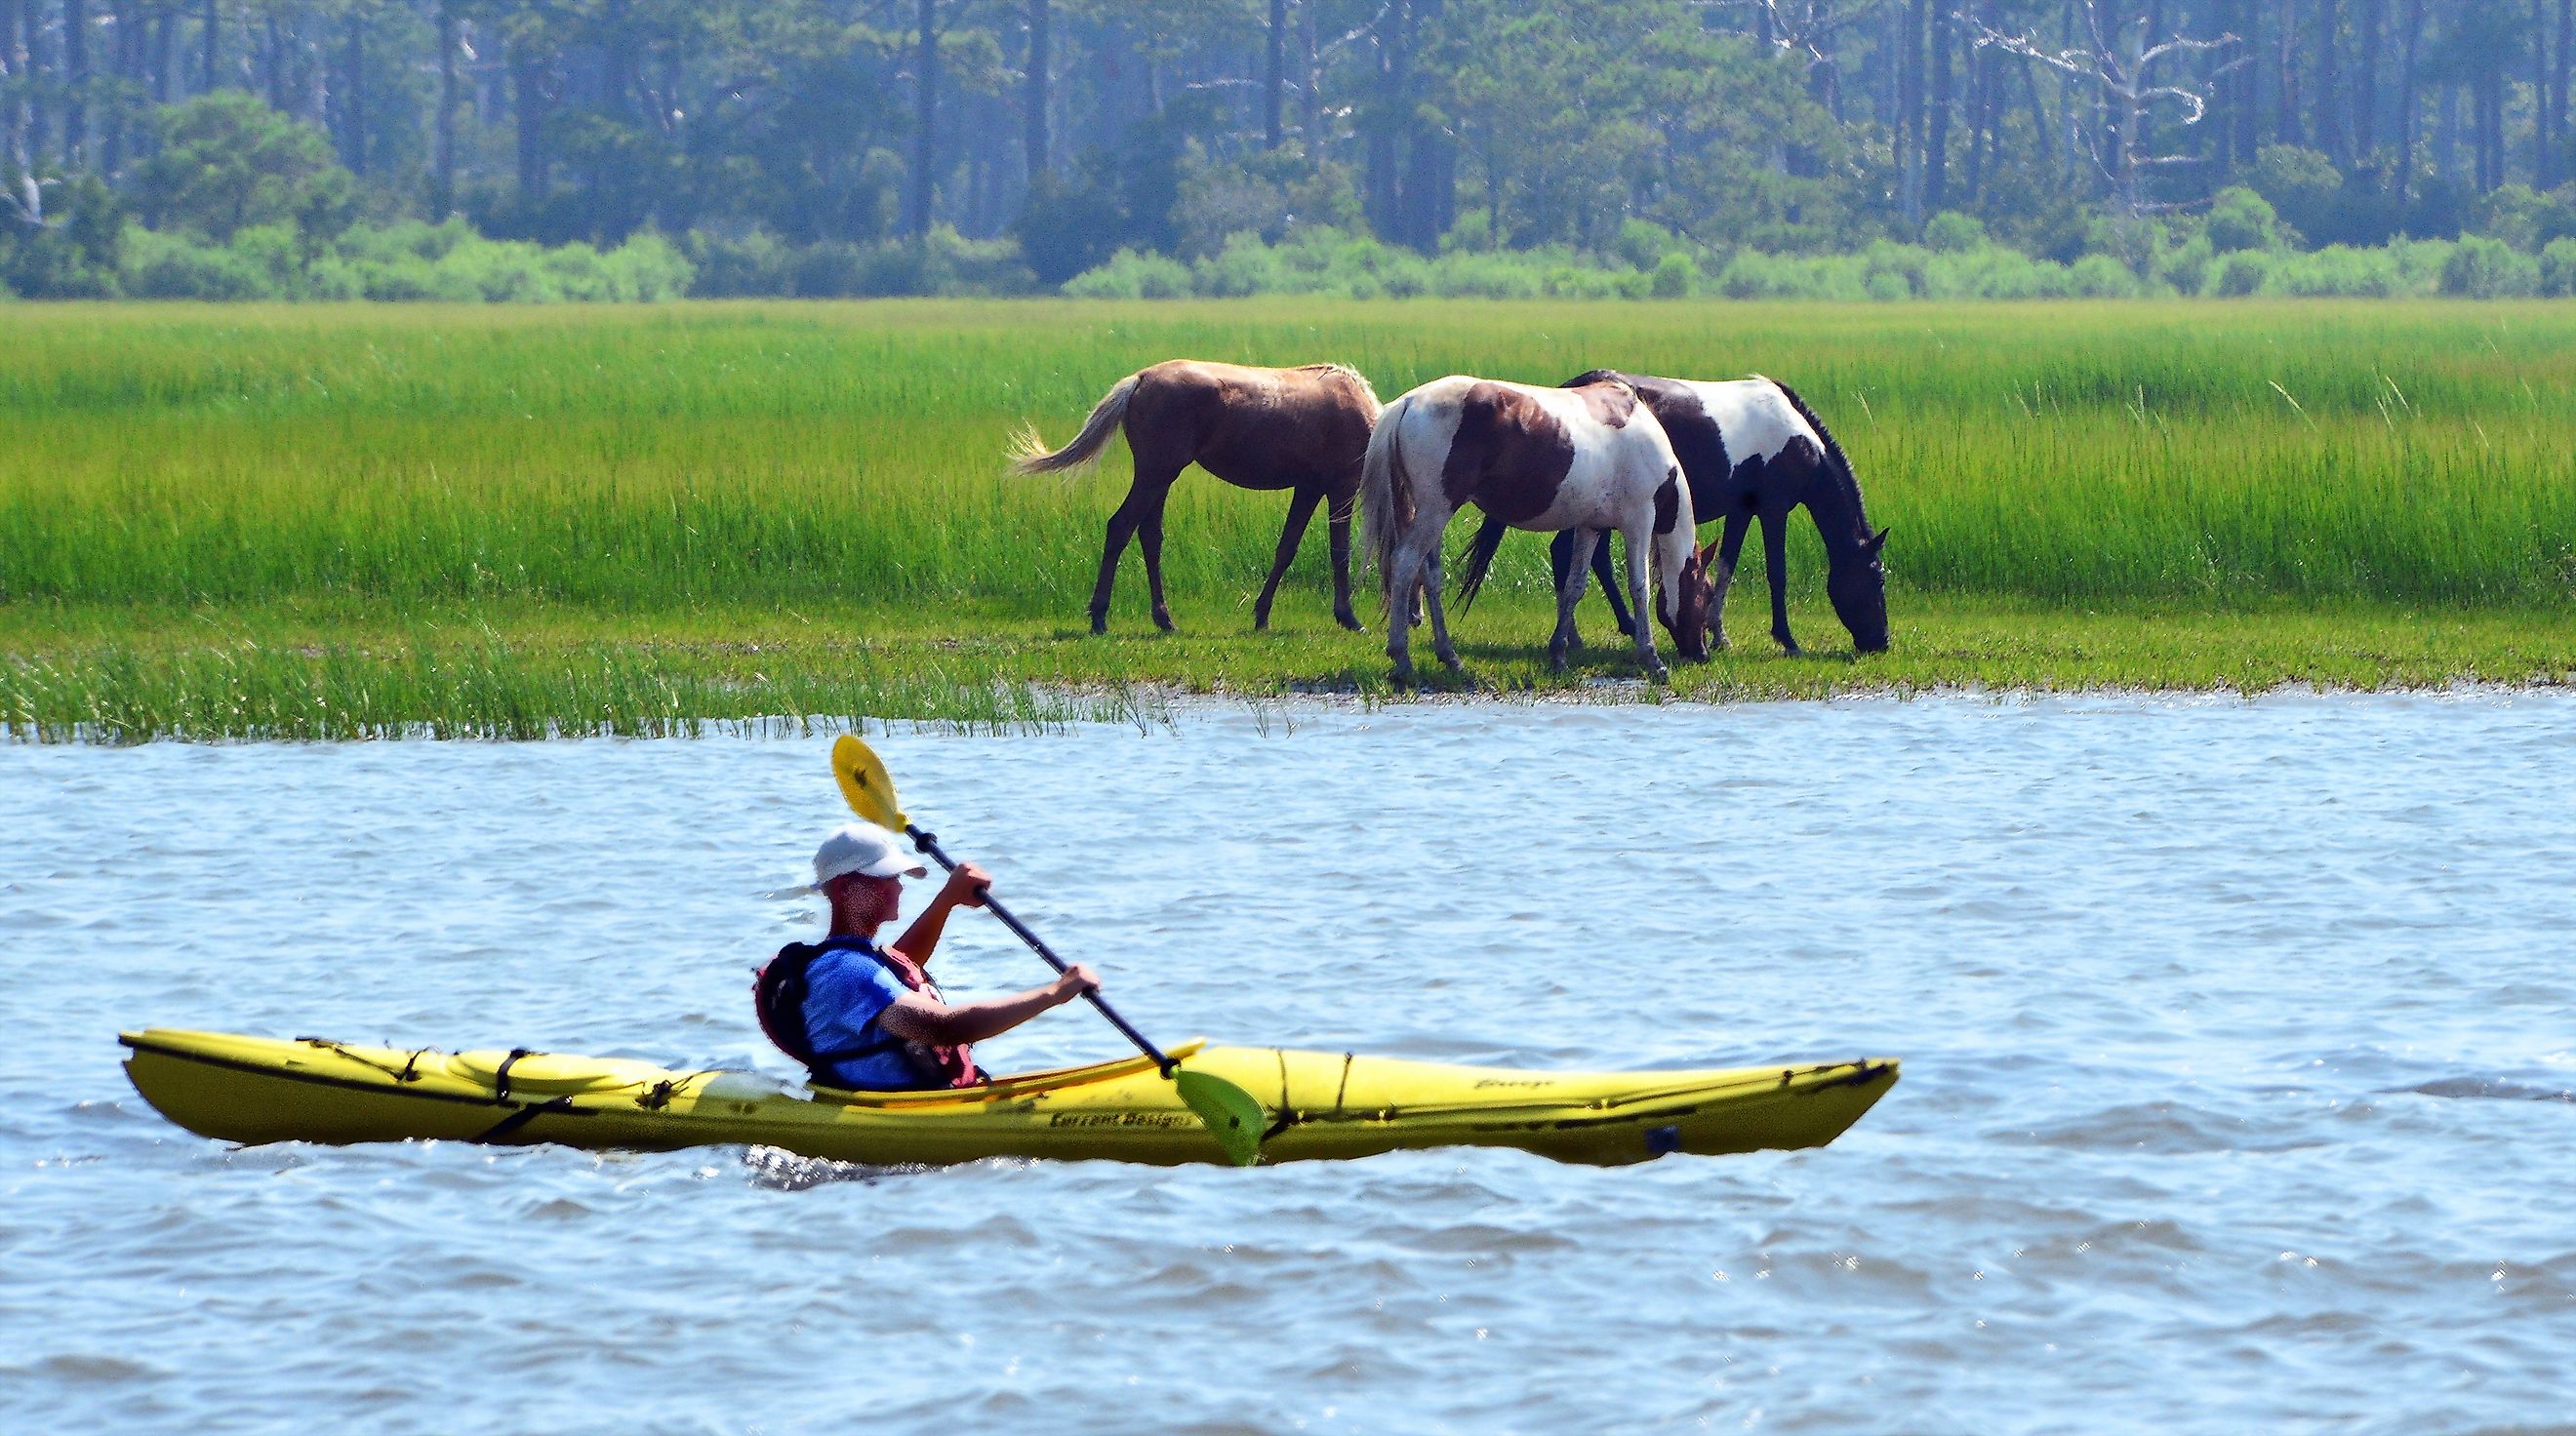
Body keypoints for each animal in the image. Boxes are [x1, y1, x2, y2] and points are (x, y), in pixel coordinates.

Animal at [1359, 373, 1720, 684]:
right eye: (1705, 593)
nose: (1702, 654)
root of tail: (1408, 402)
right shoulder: (1639, 519)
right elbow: (1639, 587)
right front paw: (1651, 658)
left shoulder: (1590, 526)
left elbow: (1575, 586)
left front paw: (1558, 655)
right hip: (1436, 510)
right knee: (1405, 564)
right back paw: (1402, 658)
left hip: (1432, 512)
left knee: (1430, 576)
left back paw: (1450, 657)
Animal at [1473, 373, 1896, 663]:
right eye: (1877, 580)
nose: (1881, 642)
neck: (1797, 438)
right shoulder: (1773, 509)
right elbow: (1777, 573)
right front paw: (1787, 640)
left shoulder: (1742, 511)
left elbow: (1726, 566)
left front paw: (1718, 633)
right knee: (1574, 555)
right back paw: (1601, 631)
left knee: (1581, 557)